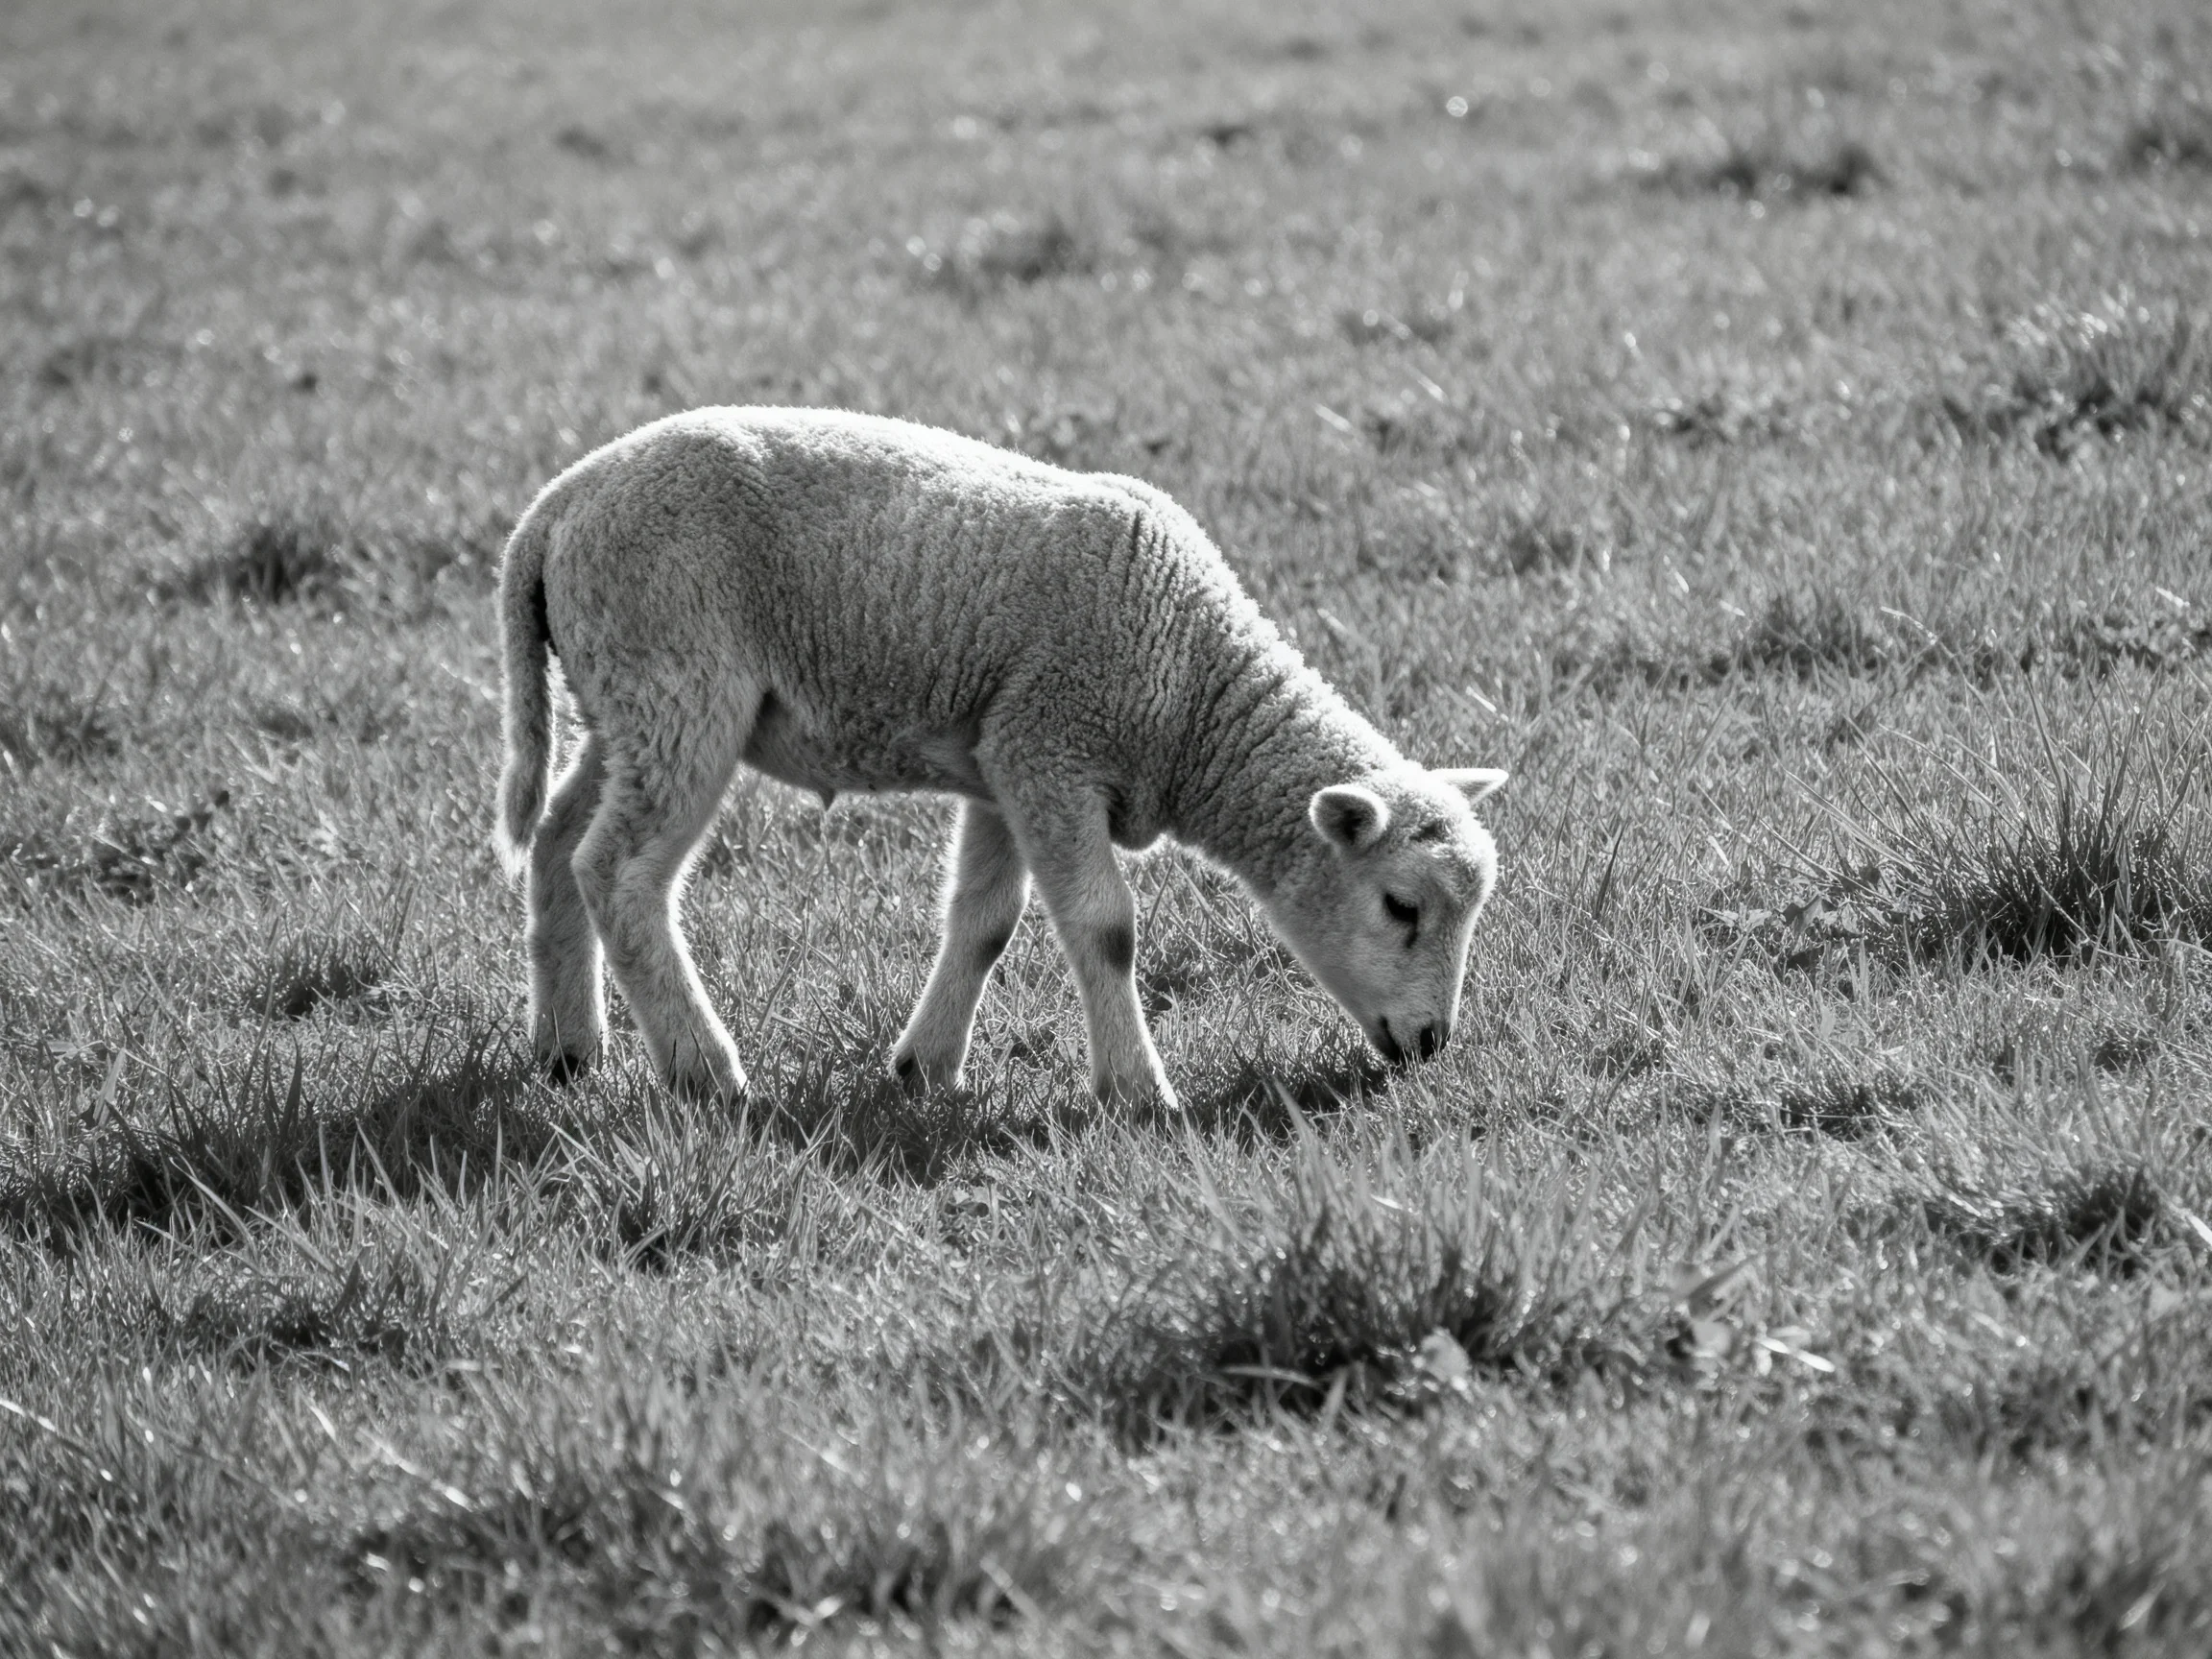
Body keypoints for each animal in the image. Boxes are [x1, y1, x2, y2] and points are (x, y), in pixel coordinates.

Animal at [494, 407, 1506, 1112]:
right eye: (1402, 906)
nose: (1432, 1044)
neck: (1194, 695)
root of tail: (553, 509)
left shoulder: (1003, 762)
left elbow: (984, 922)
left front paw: (925, 1068)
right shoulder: (1051, 747)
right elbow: (1105, 927)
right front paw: (1138, 1093)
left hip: (620, 703)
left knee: (556, 843)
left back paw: (567, 1049)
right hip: (677, 680)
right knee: (618, 872)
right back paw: (704, 1069)